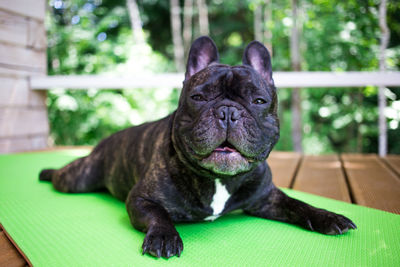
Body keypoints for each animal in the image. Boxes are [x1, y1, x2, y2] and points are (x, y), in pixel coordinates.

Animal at [39, 36, 354, 260]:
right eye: (199, 97)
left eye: (259, 101)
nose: (228, 112)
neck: (219, 179)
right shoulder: (140, 198)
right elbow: (159, 214)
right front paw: (164, 236)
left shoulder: (268, 198)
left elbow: (297, 204)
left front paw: (328, 216)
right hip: (79, 178)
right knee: (64, 176)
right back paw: (46, 172)